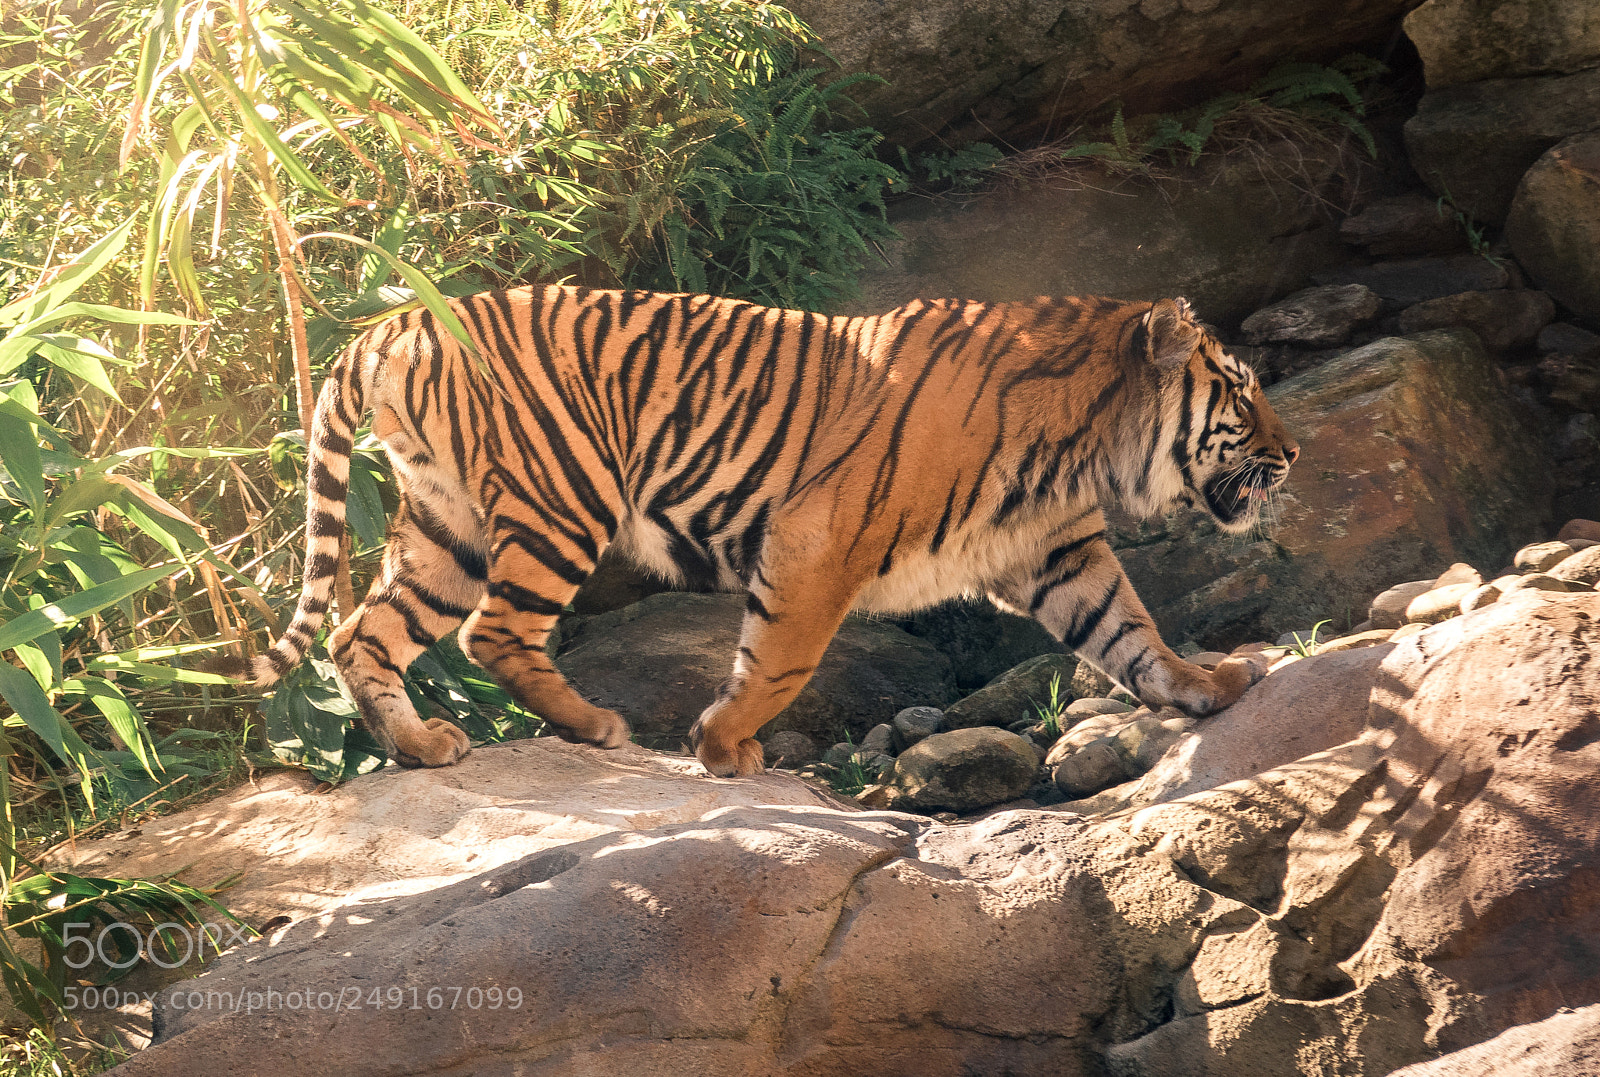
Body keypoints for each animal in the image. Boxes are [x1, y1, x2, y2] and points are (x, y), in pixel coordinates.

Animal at [243, 285, 1298, 778]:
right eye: (1242, 392)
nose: (1294, 454)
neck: (1083, 446)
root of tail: (391, 327)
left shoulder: (1062, 552)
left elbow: (1134, 632)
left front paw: (1207, 688)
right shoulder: (818, 540)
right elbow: (782, 659)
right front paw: (721, 745)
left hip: (444, 527)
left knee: (362, 631)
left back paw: (422, 745)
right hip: (562, 498)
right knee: (490, 632)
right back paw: (598, 726)